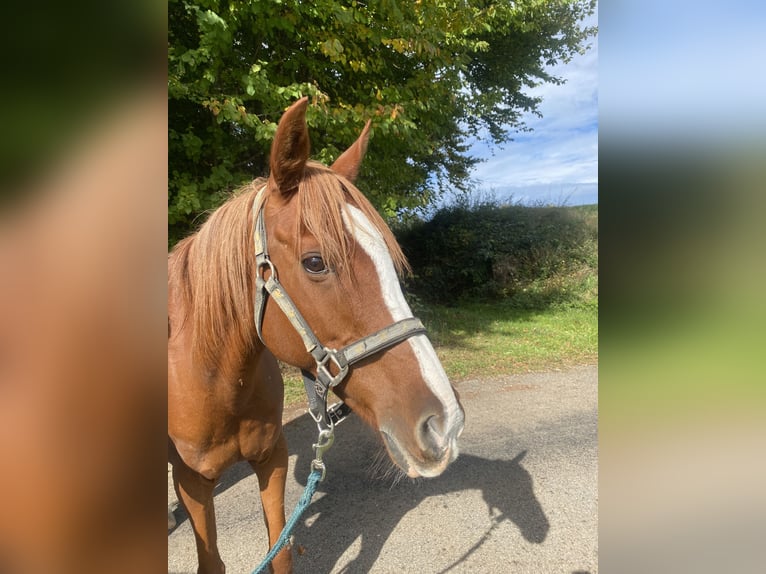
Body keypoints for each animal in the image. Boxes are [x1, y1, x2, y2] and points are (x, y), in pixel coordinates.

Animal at [169, 97, 464, 572]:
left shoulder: (271, 458)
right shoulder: (192, 481)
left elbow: (282, 548)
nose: (445, 423)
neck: (214, 376)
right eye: (315, 262)